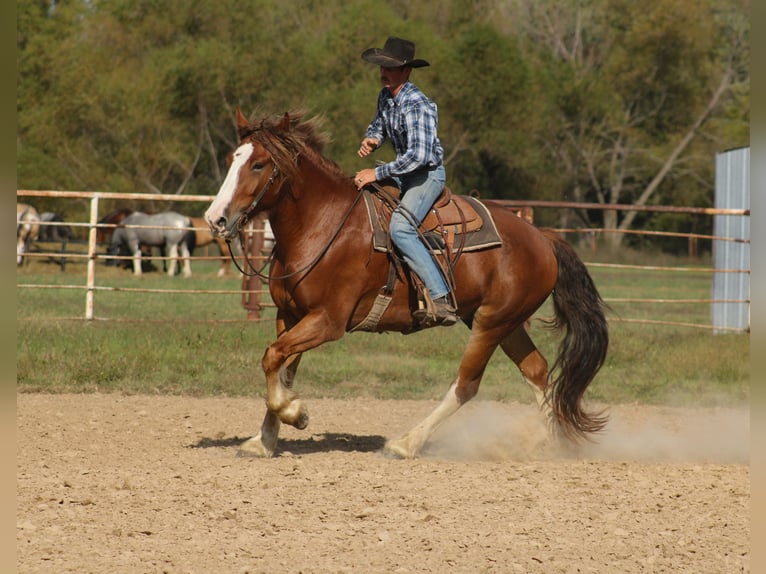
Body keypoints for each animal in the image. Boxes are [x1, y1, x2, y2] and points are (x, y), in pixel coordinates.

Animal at [204, 109, 609, 459]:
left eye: (258, 164)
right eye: (231, 159)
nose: (215, 219)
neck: (323, 224)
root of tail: (543, 238)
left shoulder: (328, 321)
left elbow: (273, 357)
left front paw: (296, 414)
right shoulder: (289, 315)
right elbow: (281, 366)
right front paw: (264, 440)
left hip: (491, 323)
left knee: (466, 385)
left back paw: (406, 443)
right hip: (506, 323)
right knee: (536, 371)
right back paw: (549, 444)